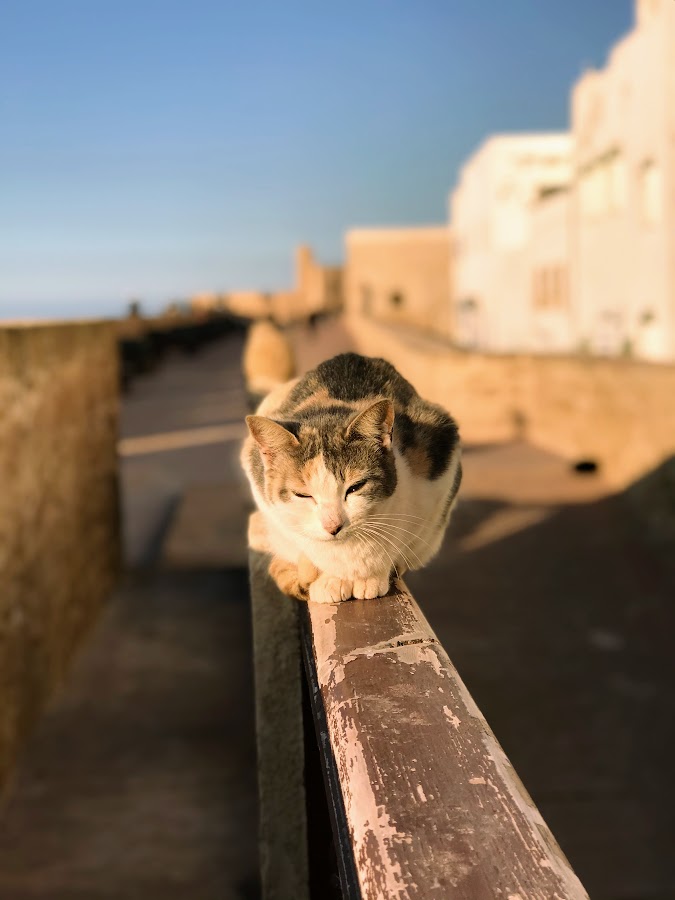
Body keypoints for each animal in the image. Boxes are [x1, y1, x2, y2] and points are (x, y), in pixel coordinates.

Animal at [243, 352, 464, 604]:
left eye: (355, 487)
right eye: (302, 495)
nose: (333, 526)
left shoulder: (439, 480)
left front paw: (369, 576)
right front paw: (329, 579)